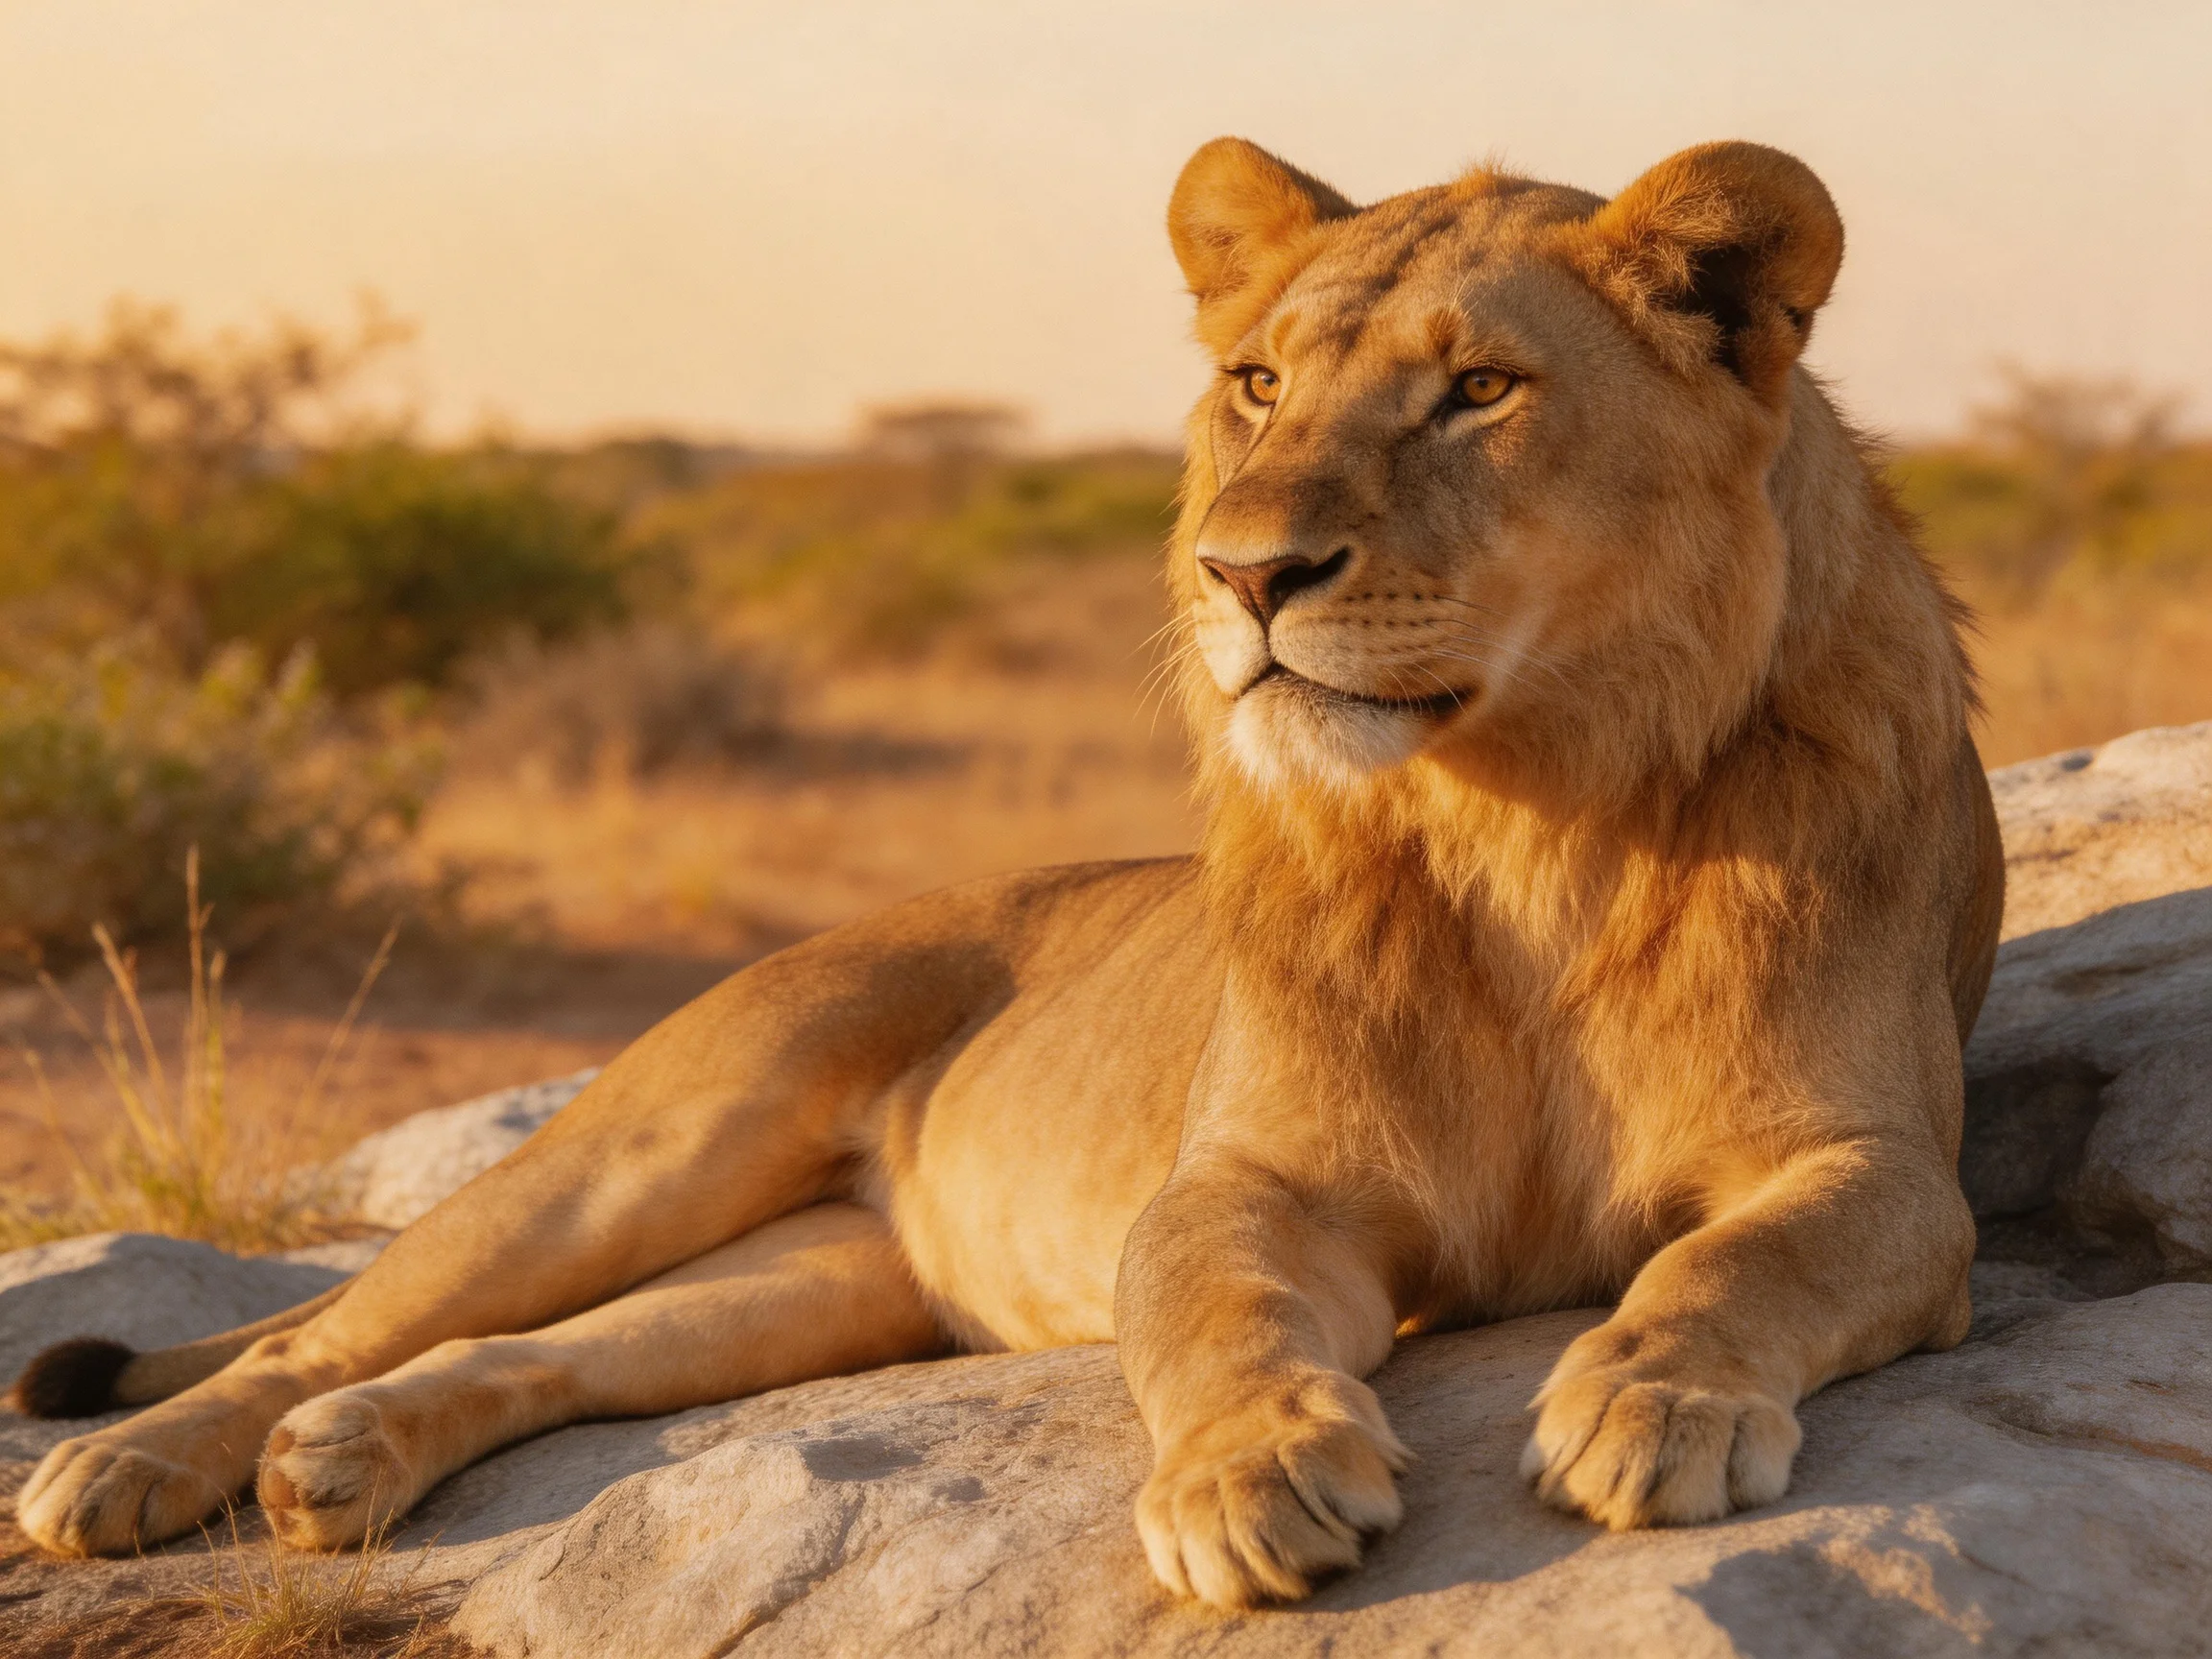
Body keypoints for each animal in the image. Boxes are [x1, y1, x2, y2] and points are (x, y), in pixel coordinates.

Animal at [13, 137, 2003, 1610]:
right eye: (1255, 384)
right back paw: (131, 1461)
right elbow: (1211, 1311)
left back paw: (343, 1458)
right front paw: (1247, 1476)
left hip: (817, 1283)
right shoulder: (1248, 1176)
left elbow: (1736, 1258)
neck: (1517, 819)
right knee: (341, 1321)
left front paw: (1649, 1401)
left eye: (1477, 390)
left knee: (553, 1353)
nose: (1241, 573)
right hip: (656, 1133)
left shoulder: (1871, 1160)